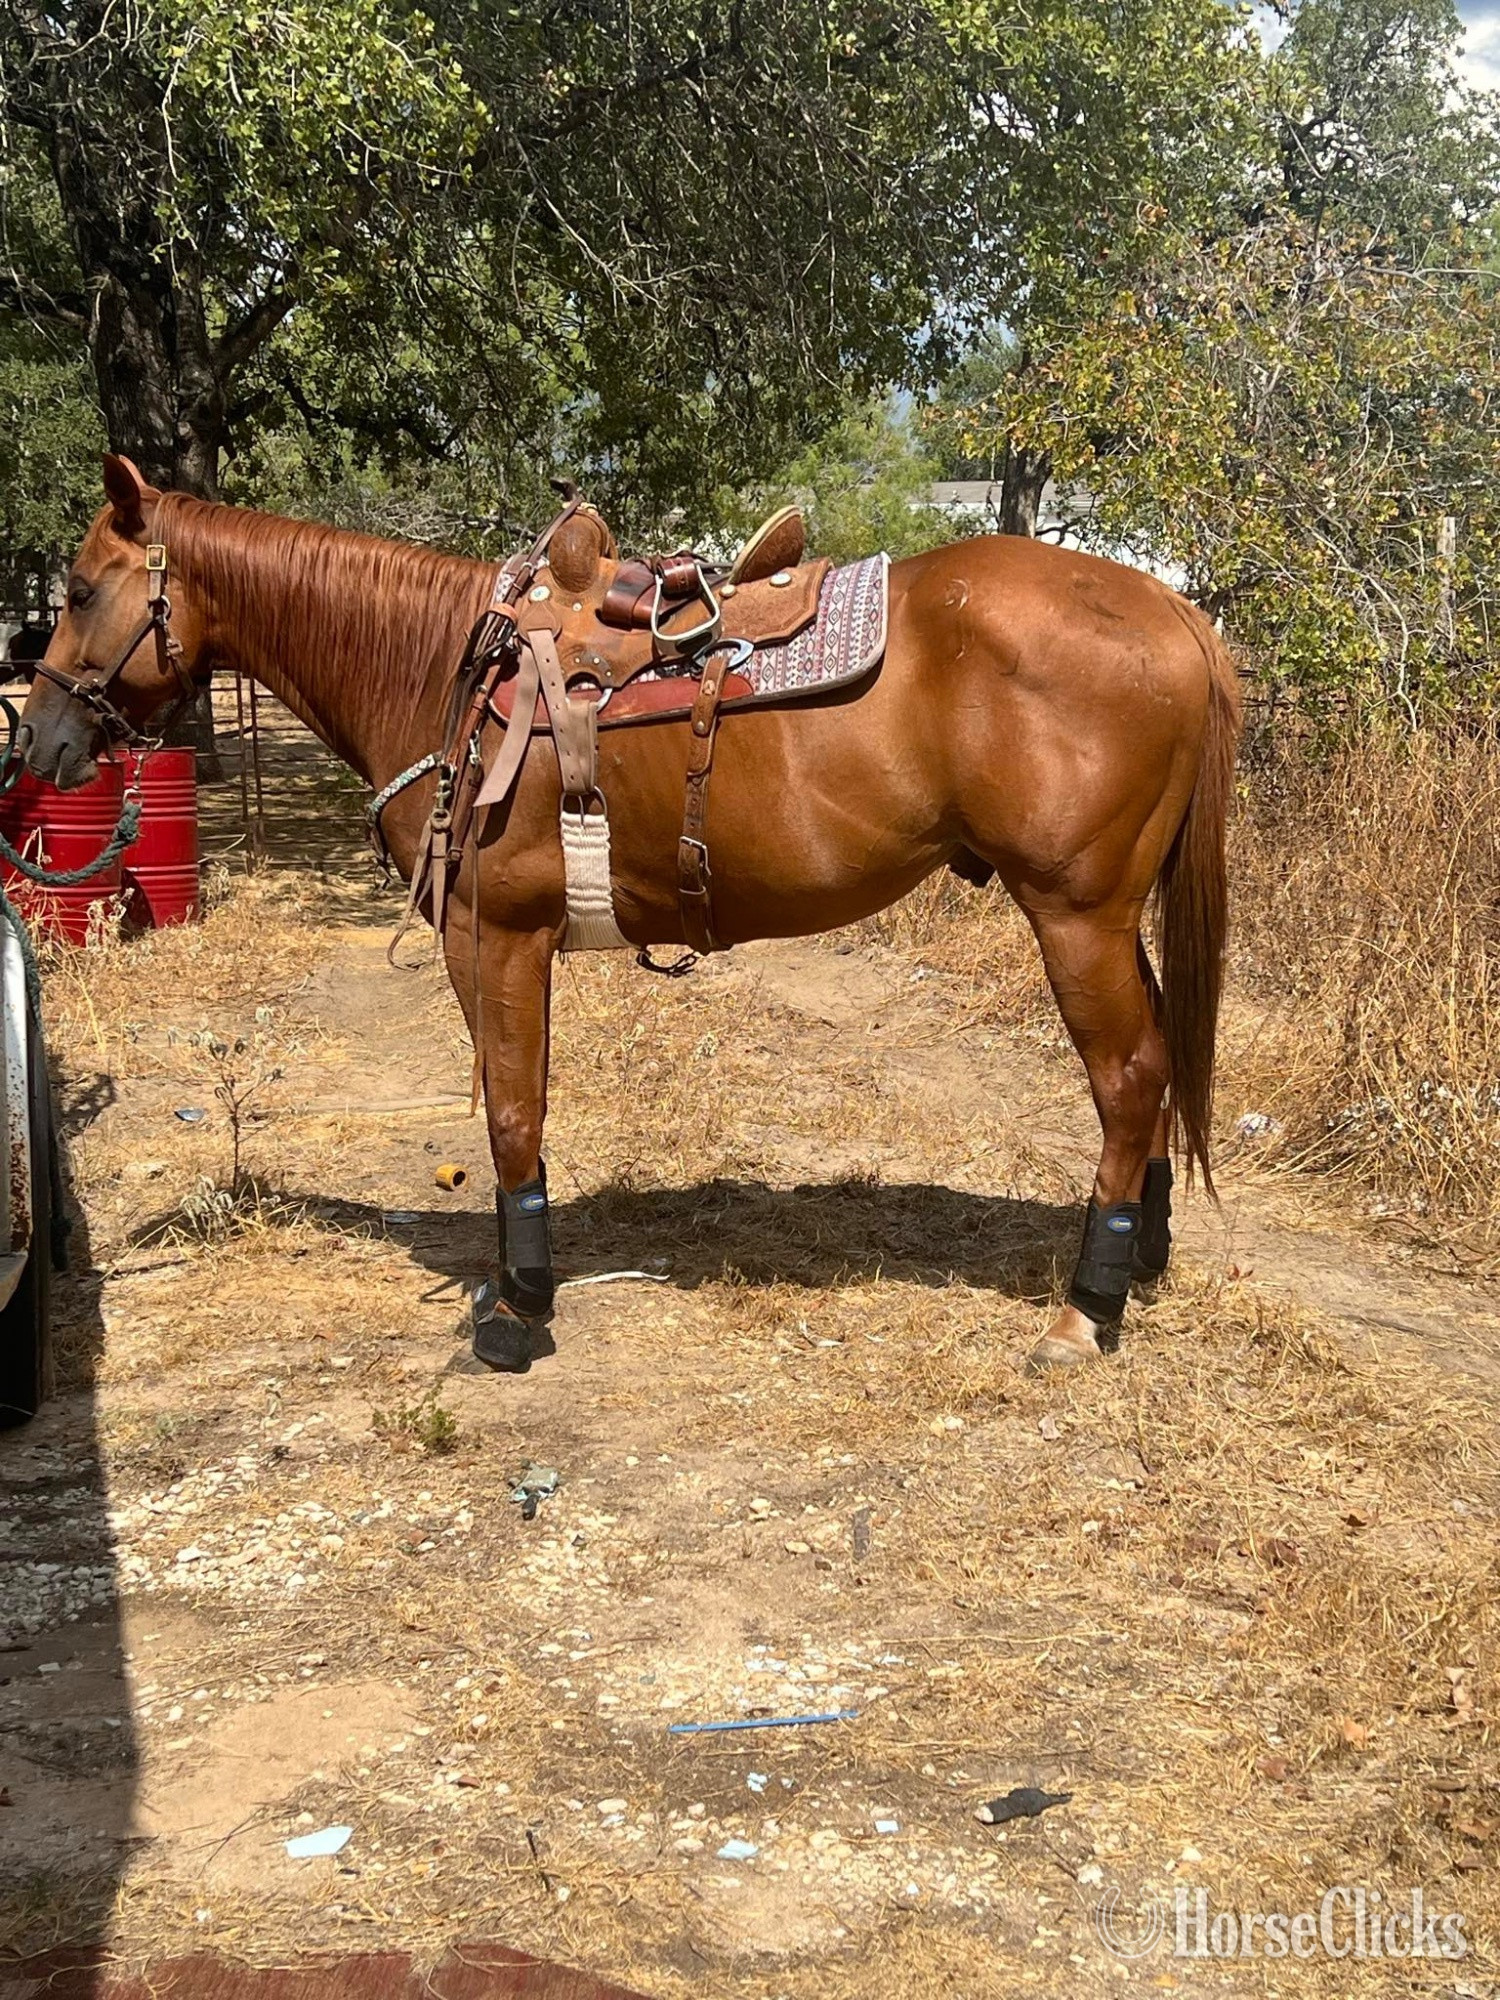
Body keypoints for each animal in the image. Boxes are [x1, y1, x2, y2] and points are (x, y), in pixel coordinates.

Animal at [19, 454, 1240, 1373]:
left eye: (76, 591)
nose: (36, 741)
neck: (448, 675)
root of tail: (1174, 609)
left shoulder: (496, 940)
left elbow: (514, 1113)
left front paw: (519, 1308)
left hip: (1074, 914)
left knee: (1129, 1073)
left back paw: (1086, 1308)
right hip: (1109, 917)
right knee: (1156, 1062)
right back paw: (1139, 1260)